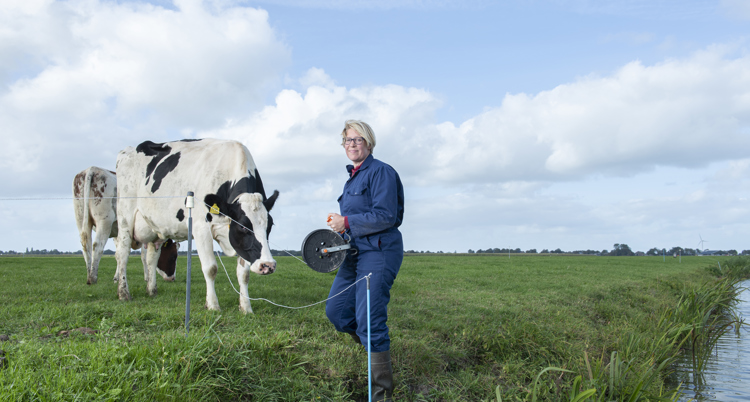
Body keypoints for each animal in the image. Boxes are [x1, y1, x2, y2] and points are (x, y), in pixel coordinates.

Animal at [111, 139, 276, 314]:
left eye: (270, 226)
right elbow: (211, 269)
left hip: (154, 227)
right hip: (125, 217)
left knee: (151, 258)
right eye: (243, 226)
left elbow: (244, 274)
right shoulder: (201, 228)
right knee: (122, 254)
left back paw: (151, 291)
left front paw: (246, 307)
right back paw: (123, 293)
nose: (268, 265)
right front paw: (212, 305)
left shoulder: (240, 243)